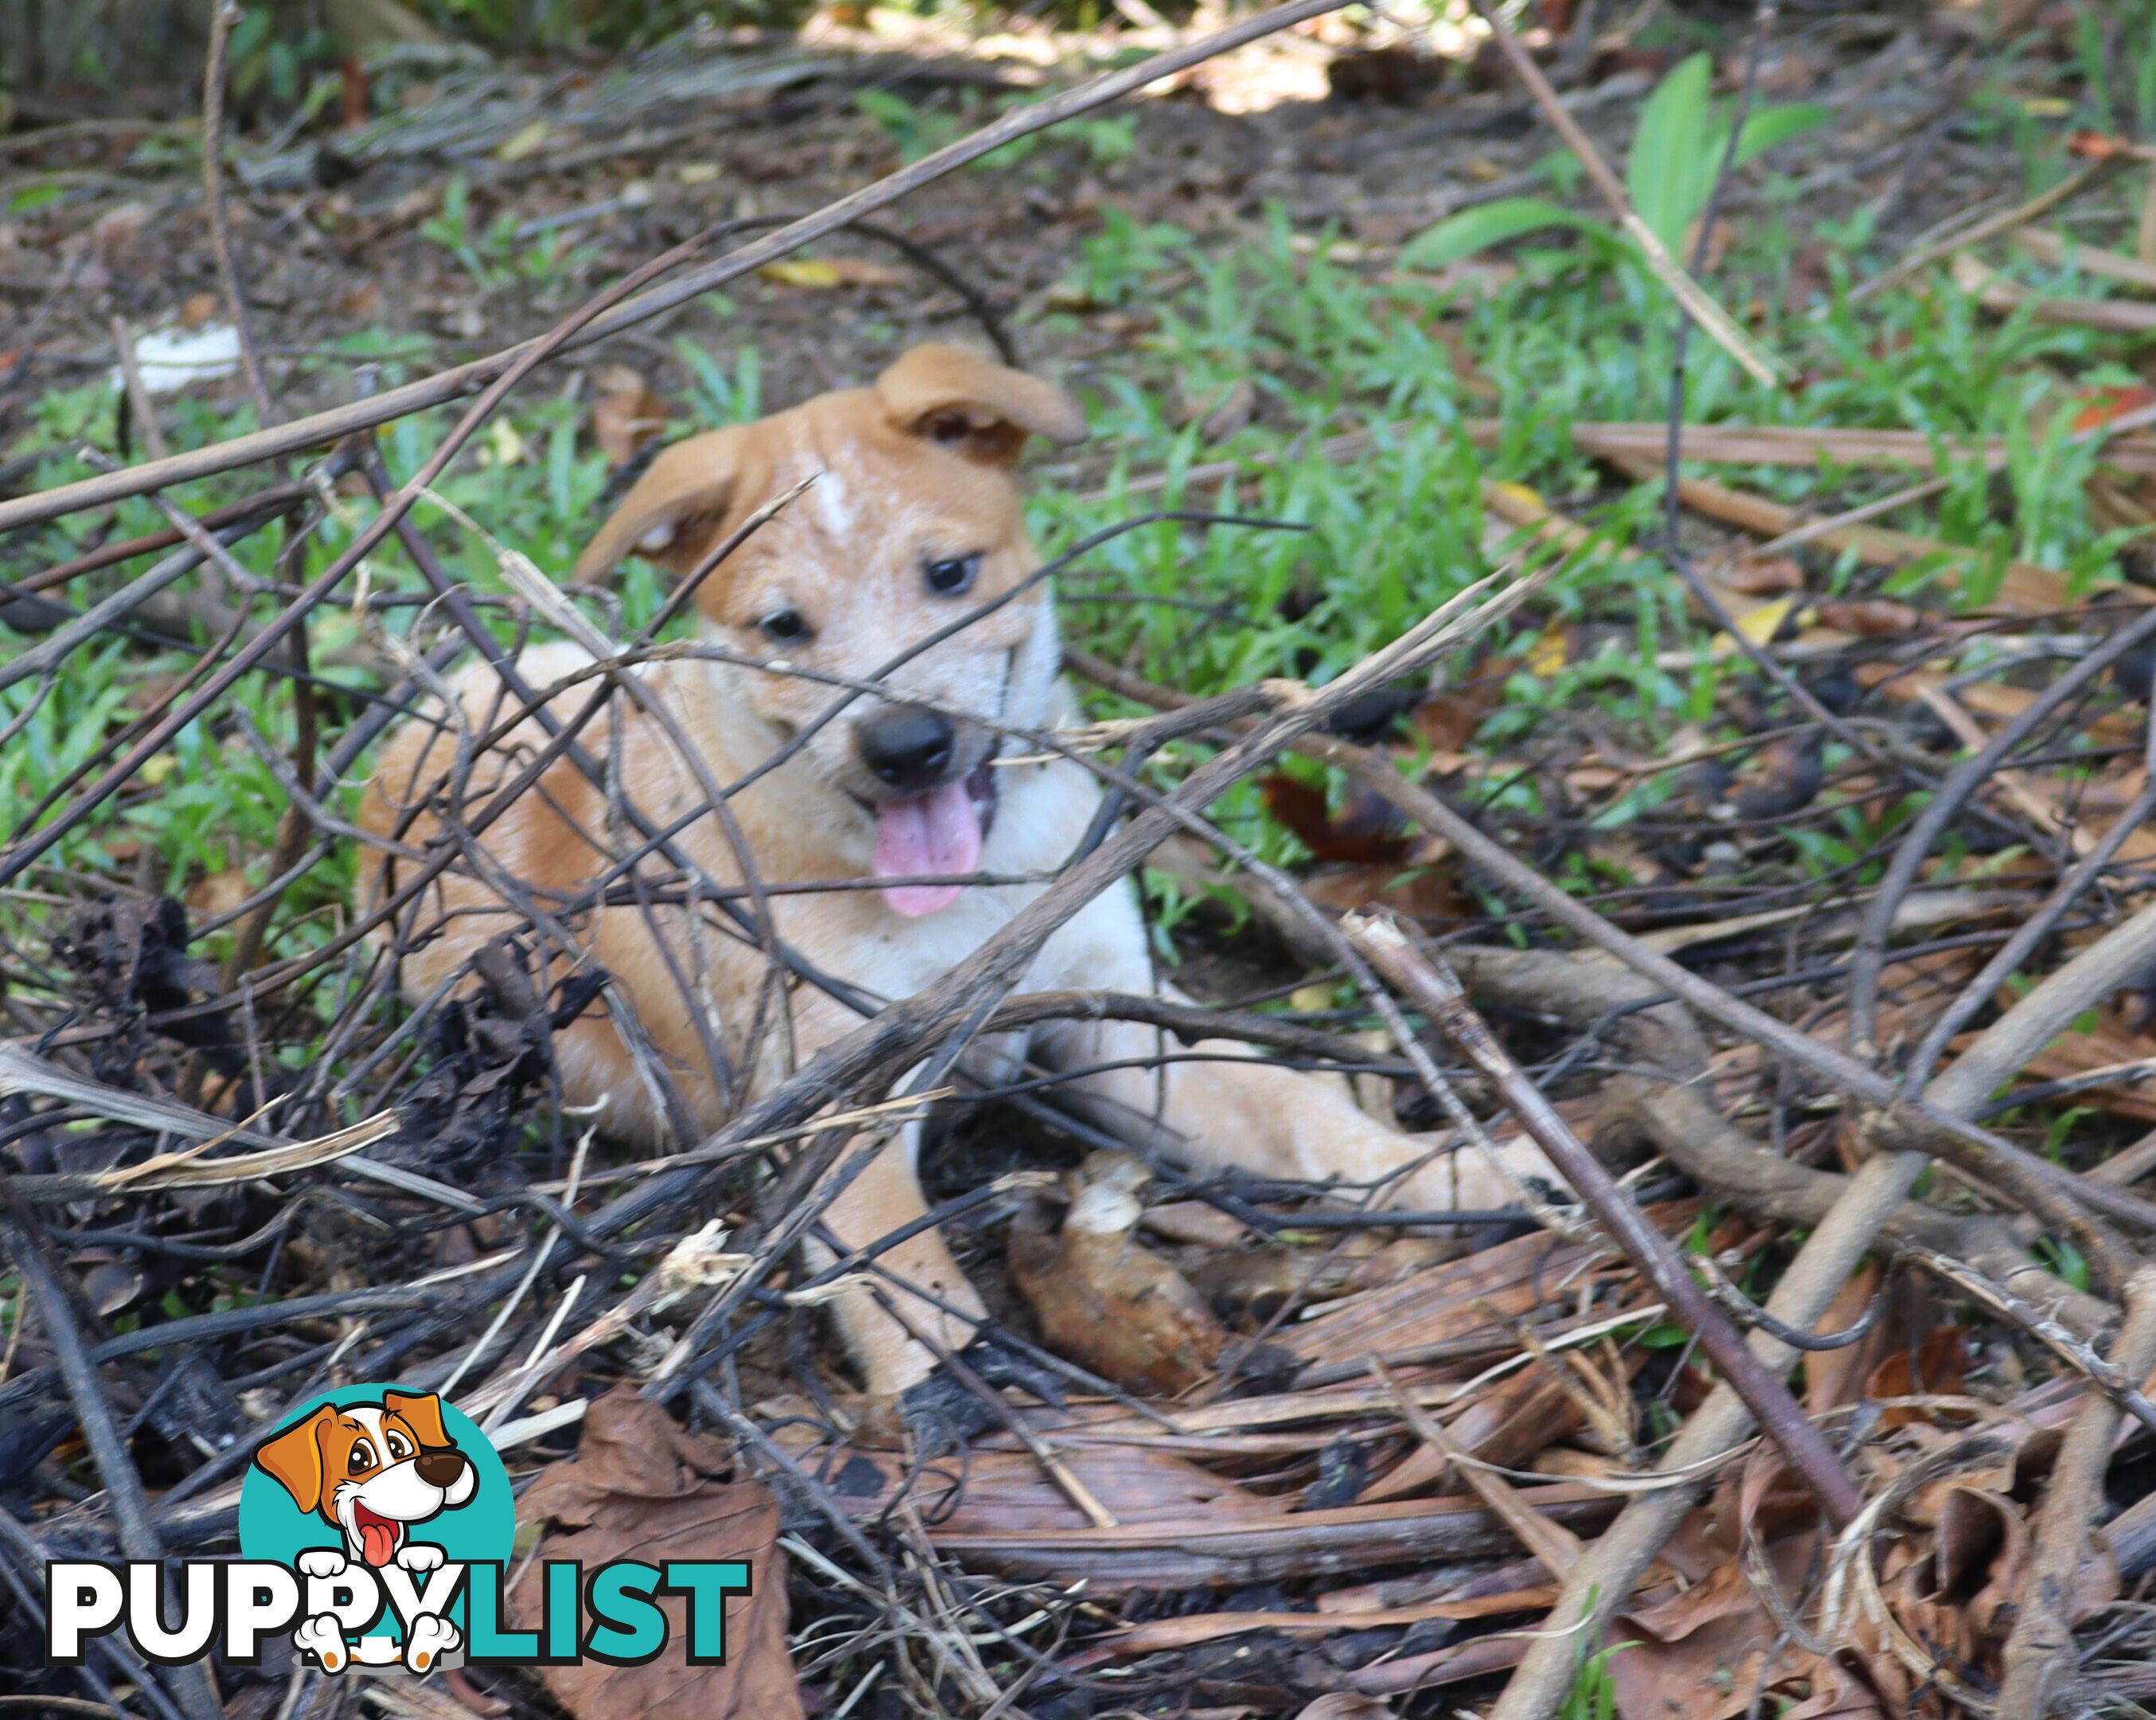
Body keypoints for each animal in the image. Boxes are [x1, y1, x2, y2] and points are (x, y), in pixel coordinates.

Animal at [361, 346, 1560, 1396]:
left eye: (948, 573)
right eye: (784, 626)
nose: (906, 745)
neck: (968, 897)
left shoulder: (1117, 1022)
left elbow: (1299, 1110)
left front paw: (1458, 1171)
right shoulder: (832, 1112)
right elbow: (905, 1282)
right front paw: (963, 1420)